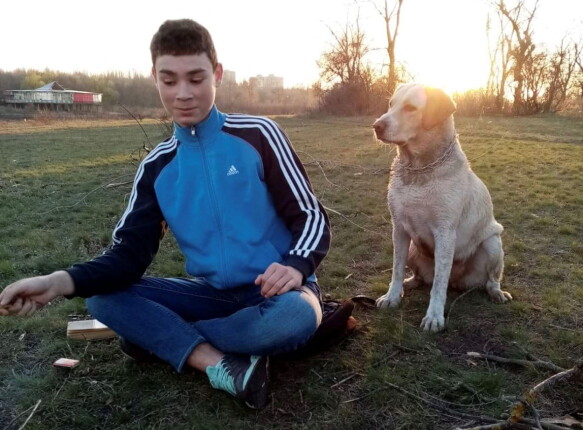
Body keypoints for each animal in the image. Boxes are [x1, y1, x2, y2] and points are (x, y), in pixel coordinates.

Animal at [374, 84, 512, 332]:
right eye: (391, 104)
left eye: (410, 108)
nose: (376, 126)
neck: (418, 170)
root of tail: (458, 281)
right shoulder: (398, 228)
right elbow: (397, 268)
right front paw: (392, 297)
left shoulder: (445, 233)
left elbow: (439, 284)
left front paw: (434, 316)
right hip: (413, 248)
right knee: (421, 277)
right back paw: (410, 283)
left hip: (493, 243)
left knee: (490, 279)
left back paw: (497, 293)